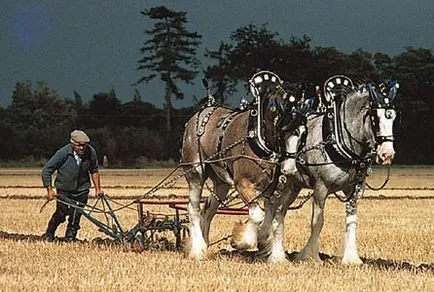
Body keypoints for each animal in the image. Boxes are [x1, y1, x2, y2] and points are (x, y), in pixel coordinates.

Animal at [181, 71, 308, 262]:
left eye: (303, 134)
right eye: (284, 131)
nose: (290, 170)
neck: (259, 138)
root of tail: (201, 112)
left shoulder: (272, 190)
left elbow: (271, 218)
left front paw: (267, 246)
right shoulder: (242, 183)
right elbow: (258, 216)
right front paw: (242, 241)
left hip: (221, 183)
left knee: (208, 209)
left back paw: (205, 244)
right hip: (195, 172)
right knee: (193, 208)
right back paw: (198, 249)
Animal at [278, 75, 400, 264]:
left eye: (393, 118)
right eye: (375, 118)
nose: (387, 154)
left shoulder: (354, 189)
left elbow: (351, 221)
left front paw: (351, 258)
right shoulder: (320, 188)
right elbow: (317, 222)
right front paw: (311, 256)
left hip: (293, 186)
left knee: (280, 211)